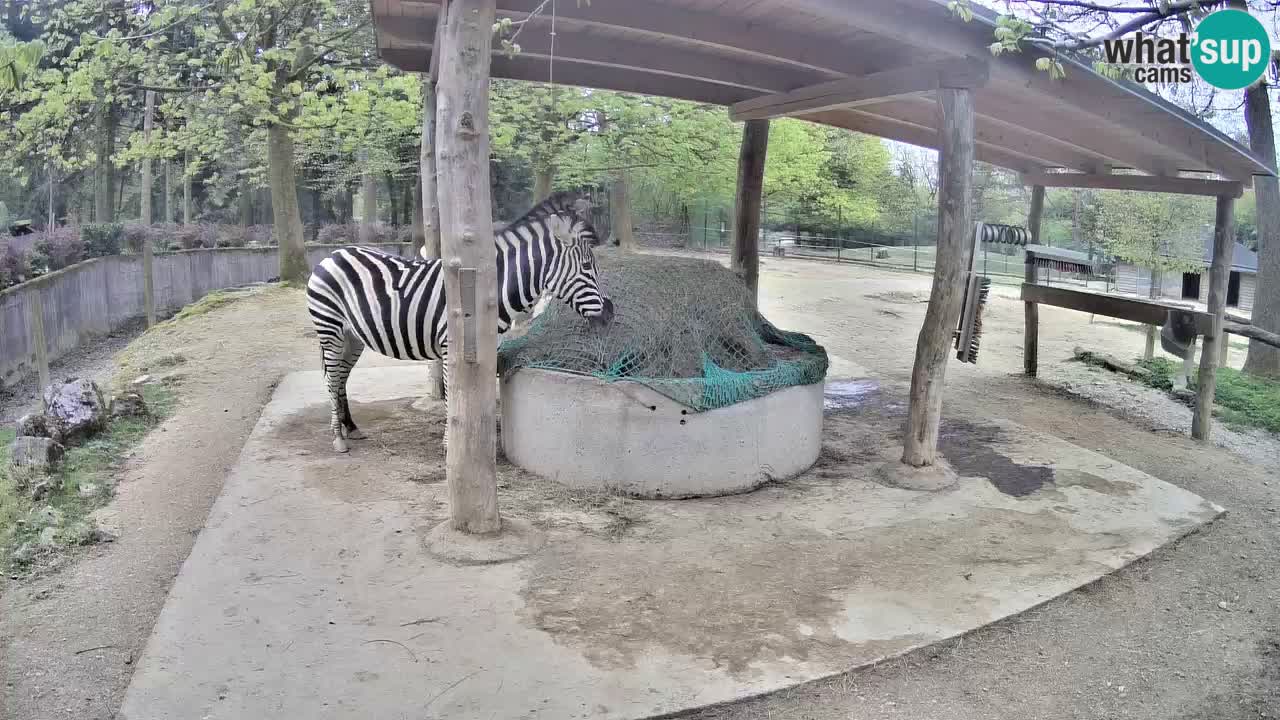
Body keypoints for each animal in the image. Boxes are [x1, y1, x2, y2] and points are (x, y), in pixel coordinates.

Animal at [306, 192, 615, 453]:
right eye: (587, 267)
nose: (610, 313)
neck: (490, 290)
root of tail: (332, 254)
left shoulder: (489, 347)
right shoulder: (449, 347)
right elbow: (452, 397)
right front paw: (450, 445)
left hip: (352, 336)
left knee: (341, 377)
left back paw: (350, 428)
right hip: (330, 328)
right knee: (332, 379)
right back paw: (338, 438)